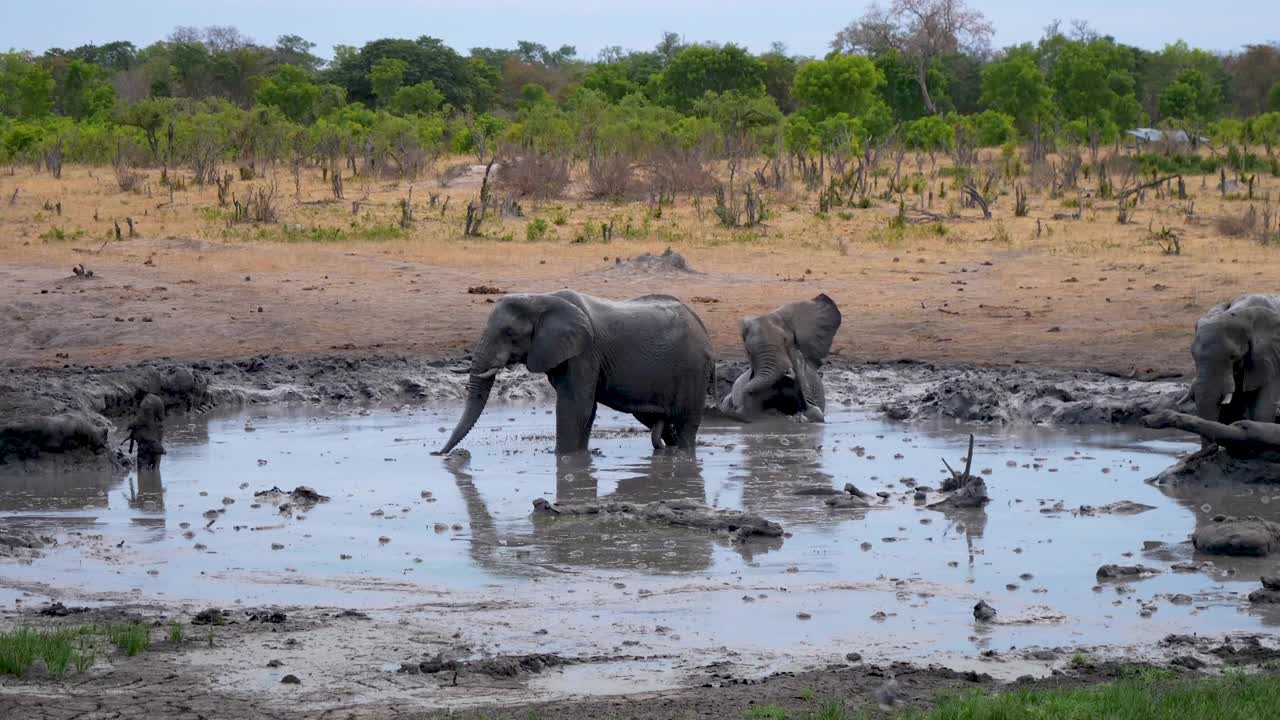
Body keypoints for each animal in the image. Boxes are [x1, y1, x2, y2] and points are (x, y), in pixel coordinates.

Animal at [435, 286, 716, 450]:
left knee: (685, 424)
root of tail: (704, 330)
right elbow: (586, 411)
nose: (440, 455)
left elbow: (575, 405)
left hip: (693, 370)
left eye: (509, 333)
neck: (540, 298)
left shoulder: (584, 353)